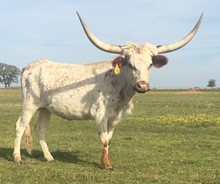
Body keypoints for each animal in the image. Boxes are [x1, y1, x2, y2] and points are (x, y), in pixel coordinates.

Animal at [13, 12, 203, 169]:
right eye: (130, 64)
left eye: (150, 65)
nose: (142, 86)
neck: (118, 85)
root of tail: (32, 65)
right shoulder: (100, 115)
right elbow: (103, 140)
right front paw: (106, 165)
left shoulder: (115, 118)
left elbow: (109, 140)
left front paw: (107, 161)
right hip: (29, 103)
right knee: (20, 125)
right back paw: (17, 158)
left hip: (46, 108)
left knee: (40, 128)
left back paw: (49, 157)